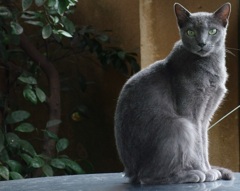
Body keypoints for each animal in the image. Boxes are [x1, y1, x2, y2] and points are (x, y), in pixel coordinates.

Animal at [114, 2, 232, 184]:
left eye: (213, 31)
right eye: (190, 32)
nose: (202, 43)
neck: (210, 67)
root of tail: (129, 170)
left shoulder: (206, 116)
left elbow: (204, 142)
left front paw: (208, 168)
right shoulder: (191, 113)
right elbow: (197, 145)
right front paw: (204, 171)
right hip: (179, 125)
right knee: (146, 176)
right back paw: (192, 174)